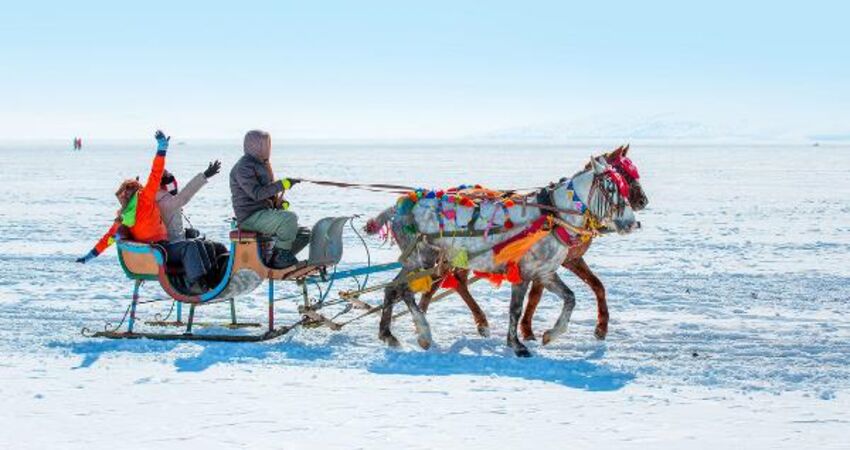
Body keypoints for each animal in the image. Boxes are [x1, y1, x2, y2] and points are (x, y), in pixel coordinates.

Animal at [418, 144, 648, 342]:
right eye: (623, 177)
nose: (642, 202)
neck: (555, 214)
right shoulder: (552, 264)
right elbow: (535, 296)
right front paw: (527, 331)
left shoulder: (562, 263)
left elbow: (590, 288)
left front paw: (596, 328)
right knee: (441, 282)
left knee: (455, 282)